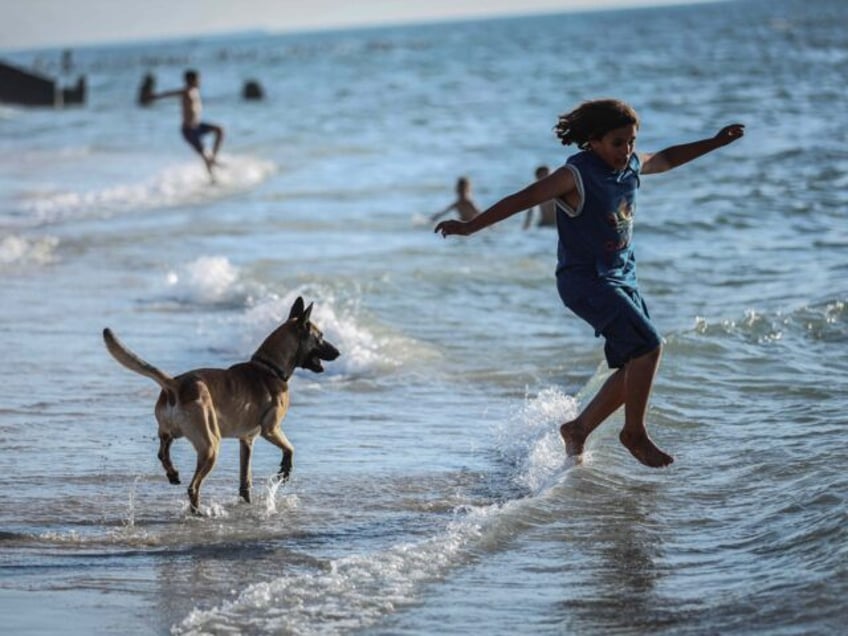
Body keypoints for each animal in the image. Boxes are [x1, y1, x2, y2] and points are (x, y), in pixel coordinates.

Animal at [101, 296, 336, 512]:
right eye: (320, 337)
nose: (338, 352)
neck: (270, 368)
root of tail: (176, 384)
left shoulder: (246, 440)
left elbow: (245, 480)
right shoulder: (271, 429)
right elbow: (290, 448)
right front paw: (285, 470)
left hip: (175, 432)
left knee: (163, 449)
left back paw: (172, 472)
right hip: (211, 445)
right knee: (193, 486)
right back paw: (198, 512)